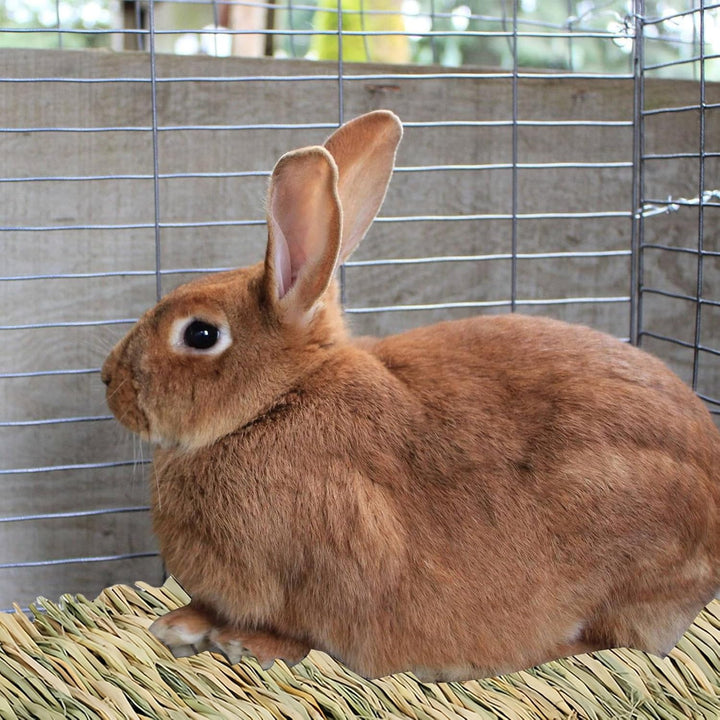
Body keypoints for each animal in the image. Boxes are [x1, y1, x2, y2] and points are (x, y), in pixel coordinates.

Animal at [102, 110, 720, 682]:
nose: (108, 381)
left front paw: (245, 645)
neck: (274, 404)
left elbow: (299, 630)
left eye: (201, 335)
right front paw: (177, 625)